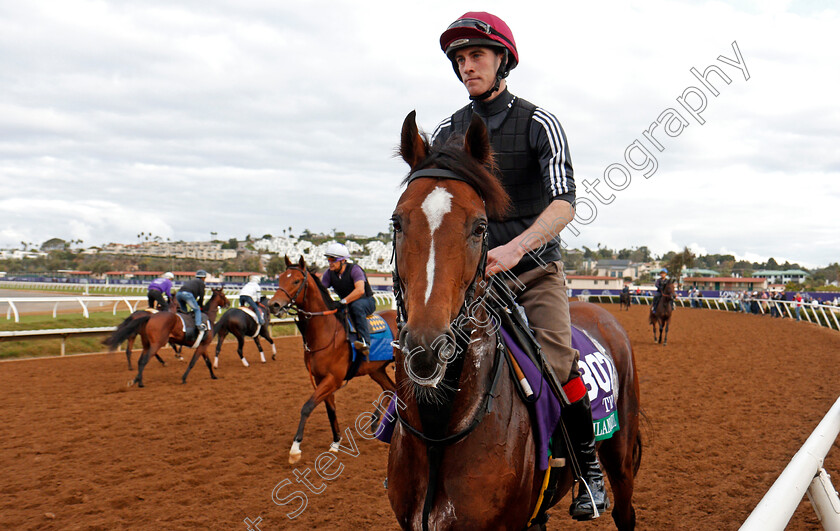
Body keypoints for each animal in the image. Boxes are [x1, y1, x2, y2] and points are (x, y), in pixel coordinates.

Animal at [270, 258, 400, 466]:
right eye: (281, 278)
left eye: (296, 281)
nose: (273, 305)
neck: (326, 331)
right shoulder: (321, 378)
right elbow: (330, 410)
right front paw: (336, 443)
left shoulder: (333, 378)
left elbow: (307, 407)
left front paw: (295, 449)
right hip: (376, 370)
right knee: (391, 389)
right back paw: (377, 424)